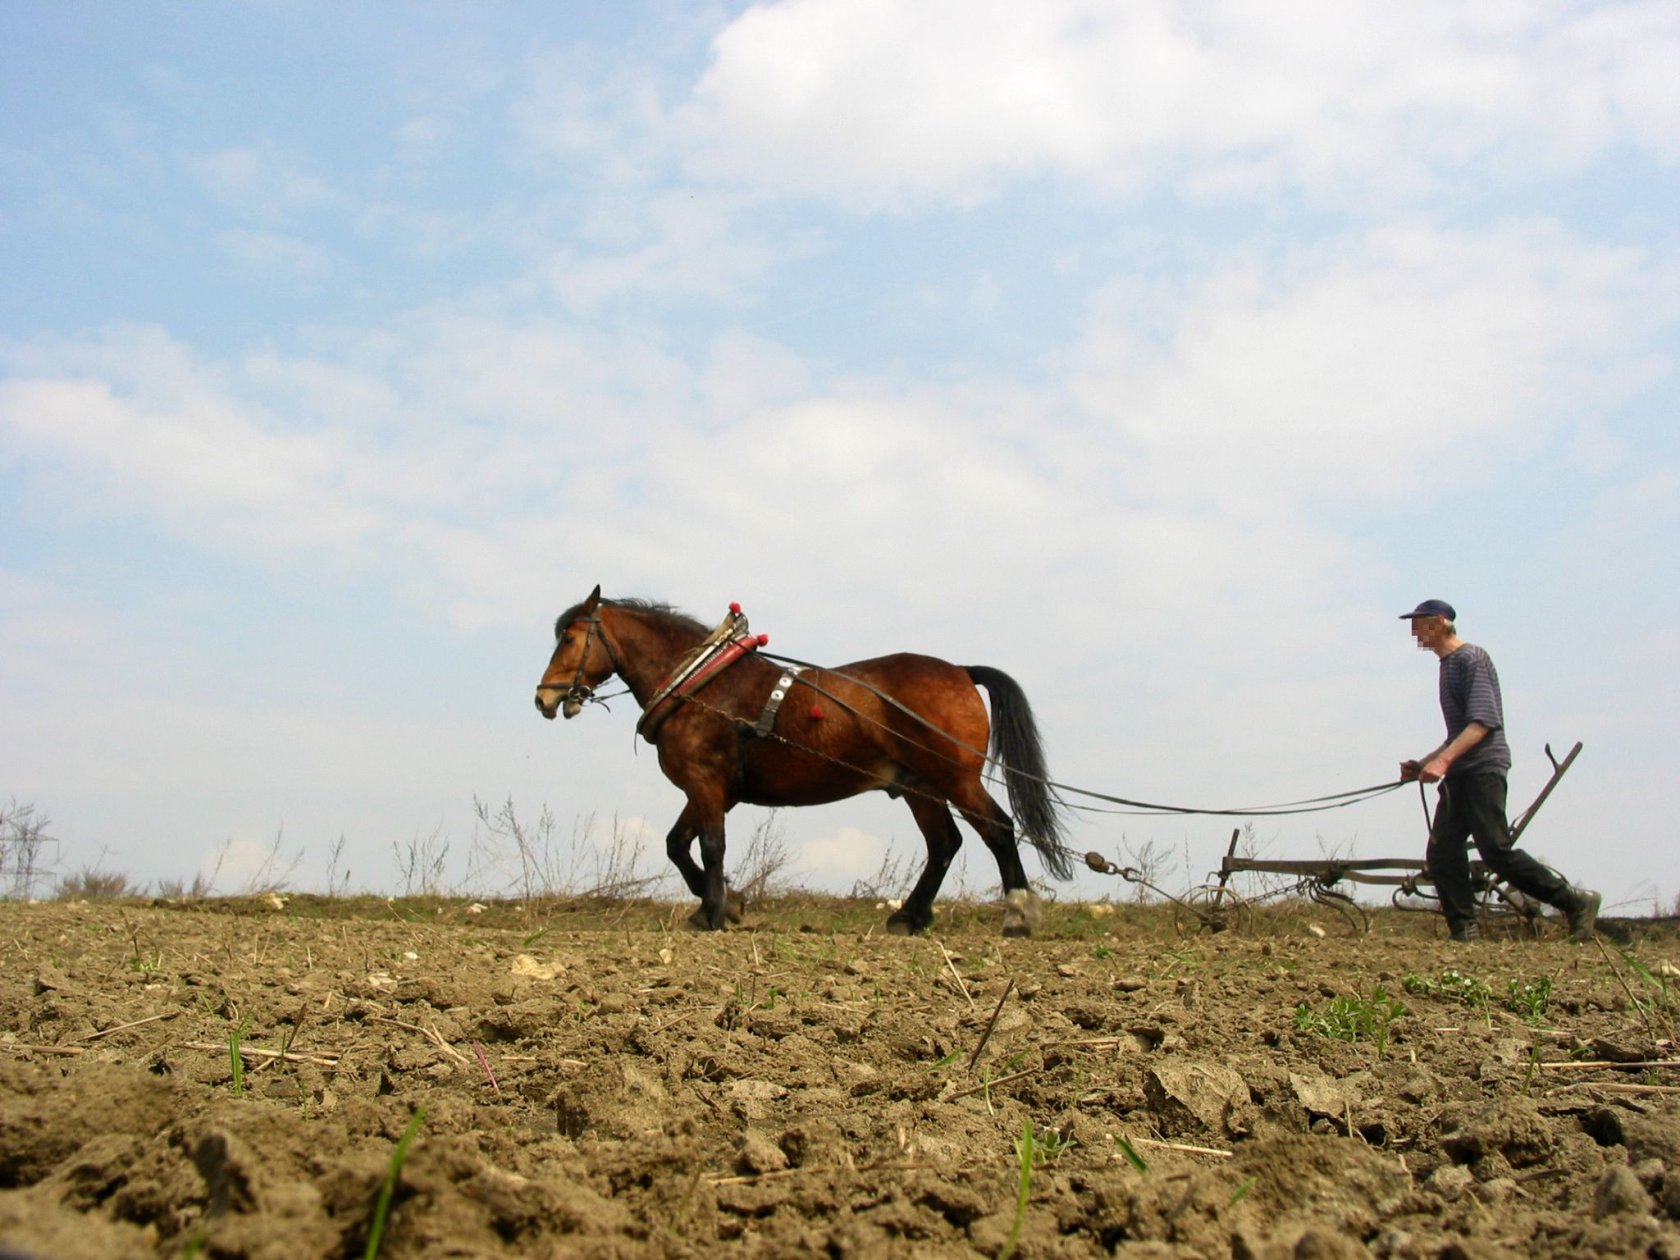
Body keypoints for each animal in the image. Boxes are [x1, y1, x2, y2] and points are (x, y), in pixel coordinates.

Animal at [530, 588, 1068, 934]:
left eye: (569, 639)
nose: (544, 697)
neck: (701, 685)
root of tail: (959, 670)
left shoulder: (706, 784)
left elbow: (710, 846)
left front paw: (714, 911)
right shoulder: (714, 790)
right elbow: (677, 845)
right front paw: (728, 903)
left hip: (954, 779)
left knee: (997, 829)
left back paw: (1018, 914)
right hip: (921, 787)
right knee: (944, 844)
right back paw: (909, 917)